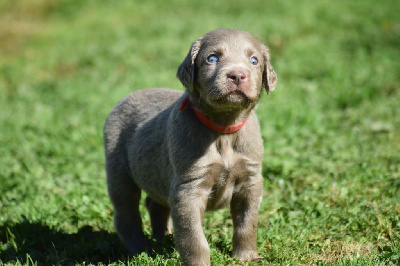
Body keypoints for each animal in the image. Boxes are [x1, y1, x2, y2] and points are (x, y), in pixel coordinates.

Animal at [104, 28, 276, 264]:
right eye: (212, 58)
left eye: (254, 60)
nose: (237, 75)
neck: (223, 130)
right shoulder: (188, 189)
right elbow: (194, 238)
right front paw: (199, 263)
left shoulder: (250, 180)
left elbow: (247, 223)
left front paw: (246, 257)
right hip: (119, 173)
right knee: (126, 214)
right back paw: (140, 250)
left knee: (155, 204)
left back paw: (164, 239)